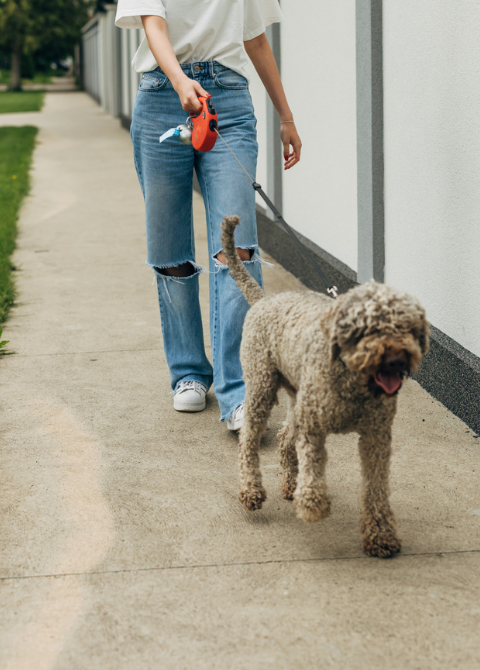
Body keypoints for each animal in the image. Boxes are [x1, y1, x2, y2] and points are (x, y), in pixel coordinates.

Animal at [219, 218, 430, 560]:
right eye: (367, 329)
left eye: (408, 328)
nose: (397, 360)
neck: (354, 381)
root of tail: (264, 299)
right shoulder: (314, 428)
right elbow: (314, 468)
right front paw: (313, 505)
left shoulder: (376, 436)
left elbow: (376, 487)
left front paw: (381, 534)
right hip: (262, 388)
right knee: (248, 440)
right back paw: (252, 490)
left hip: (298, 395)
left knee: (284, 437)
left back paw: (289, 484)